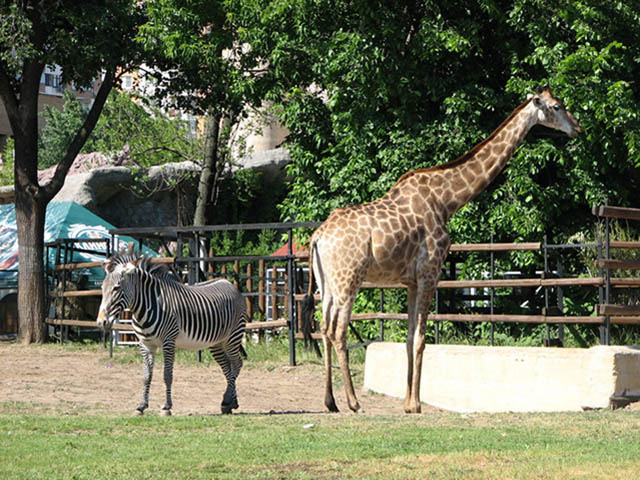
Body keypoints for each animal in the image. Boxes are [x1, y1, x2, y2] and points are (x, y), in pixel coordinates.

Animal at [303, 86, 583, 413]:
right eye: (557, 106)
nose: (578, 128)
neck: (447, 200)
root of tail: (317, 237)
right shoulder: (430, 271)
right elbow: (421, 338)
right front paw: (415, 405)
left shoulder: (411, 281)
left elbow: (409, 338)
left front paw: (408, 403)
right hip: (349, 279)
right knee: (338, 330)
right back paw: (353, 402)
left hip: (327, 284)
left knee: (324, 327)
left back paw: (330, 401)